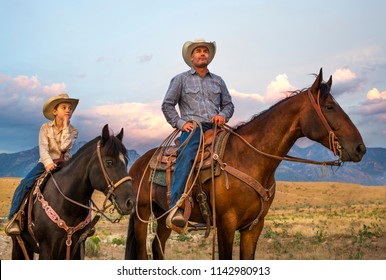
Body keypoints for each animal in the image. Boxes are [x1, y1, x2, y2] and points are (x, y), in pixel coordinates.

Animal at [10, 123, 136, 260]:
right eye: (109, 162)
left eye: (126, 162)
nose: (130, 202)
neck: (68, 206)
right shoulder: (46, 248)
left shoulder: (78, 246)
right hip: (18, 243)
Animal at [125, 68, 366, 260]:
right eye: (329, 107)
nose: (359, 148)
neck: (249, 159)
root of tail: (138, 164)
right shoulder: (226, 224)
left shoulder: (254, 226)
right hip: (142, 215)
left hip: (163, 216)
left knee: (158, 247)